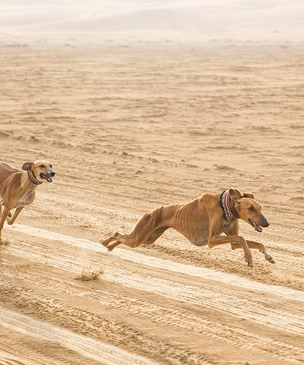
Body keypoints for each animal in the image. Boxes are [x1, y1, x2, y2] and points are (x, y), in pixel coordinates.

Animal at [101, 189, 274, 266]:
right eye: (250, 208)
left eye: (260, 208)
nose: (266, 223)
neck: (226, 206)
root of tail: (152, 211)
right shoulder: (212, 240)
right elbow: (242, 237)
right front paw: (248, 257)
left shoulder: (231, 242)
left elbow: (254, 242)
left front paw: (268, 256)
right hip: (141, 234)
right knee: (118, 234)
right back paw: (105, 242)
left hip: (147, 237)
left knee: (123, 237)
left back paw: (109, 246)